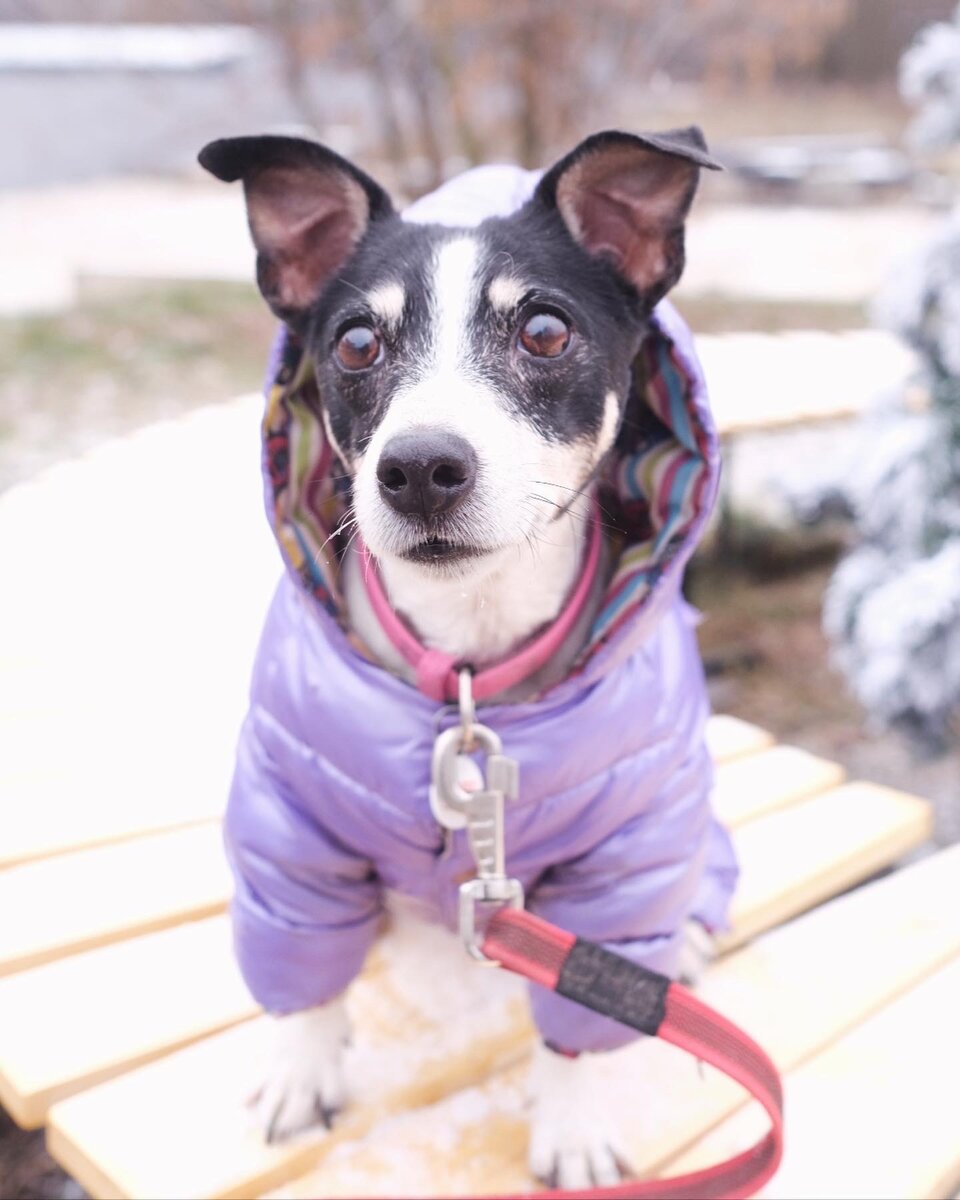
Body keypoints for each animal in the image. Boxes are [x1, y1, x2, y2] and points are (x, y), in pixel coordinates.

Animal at [199, 126, 739, 1185]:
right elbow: (302, 963)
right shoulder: (293, 826)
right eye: (356, 343)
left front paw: (573, 1123)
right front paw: (301, 1066)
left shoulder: (621, 859)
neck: (465, 667)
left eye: (545, 331)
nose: (418, 468)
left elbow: (582, 1001)